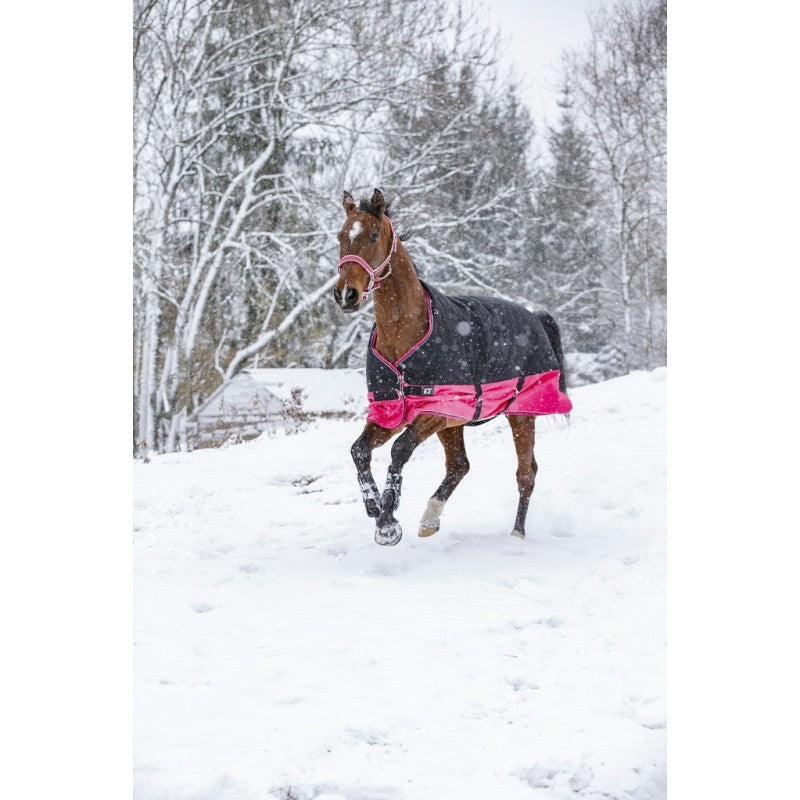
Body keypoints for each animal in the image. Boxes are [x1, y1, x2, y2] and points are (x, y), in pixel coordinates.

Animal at [333, 188, 572, 546]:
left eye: (373, 235)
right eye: (340, 236)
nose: (345, 294)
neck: (404, 333)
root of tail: (535, 317)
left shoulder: (436, 409)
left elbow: (400, 450)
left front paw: (389, 521)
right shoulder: (391, 410)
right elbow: (359, 451)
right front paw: (375, 508)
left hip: (521, 413)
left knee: (525, 473)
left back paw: (516, 534)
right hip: (456, 423)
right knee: (460, 465)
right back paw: (429, 520)